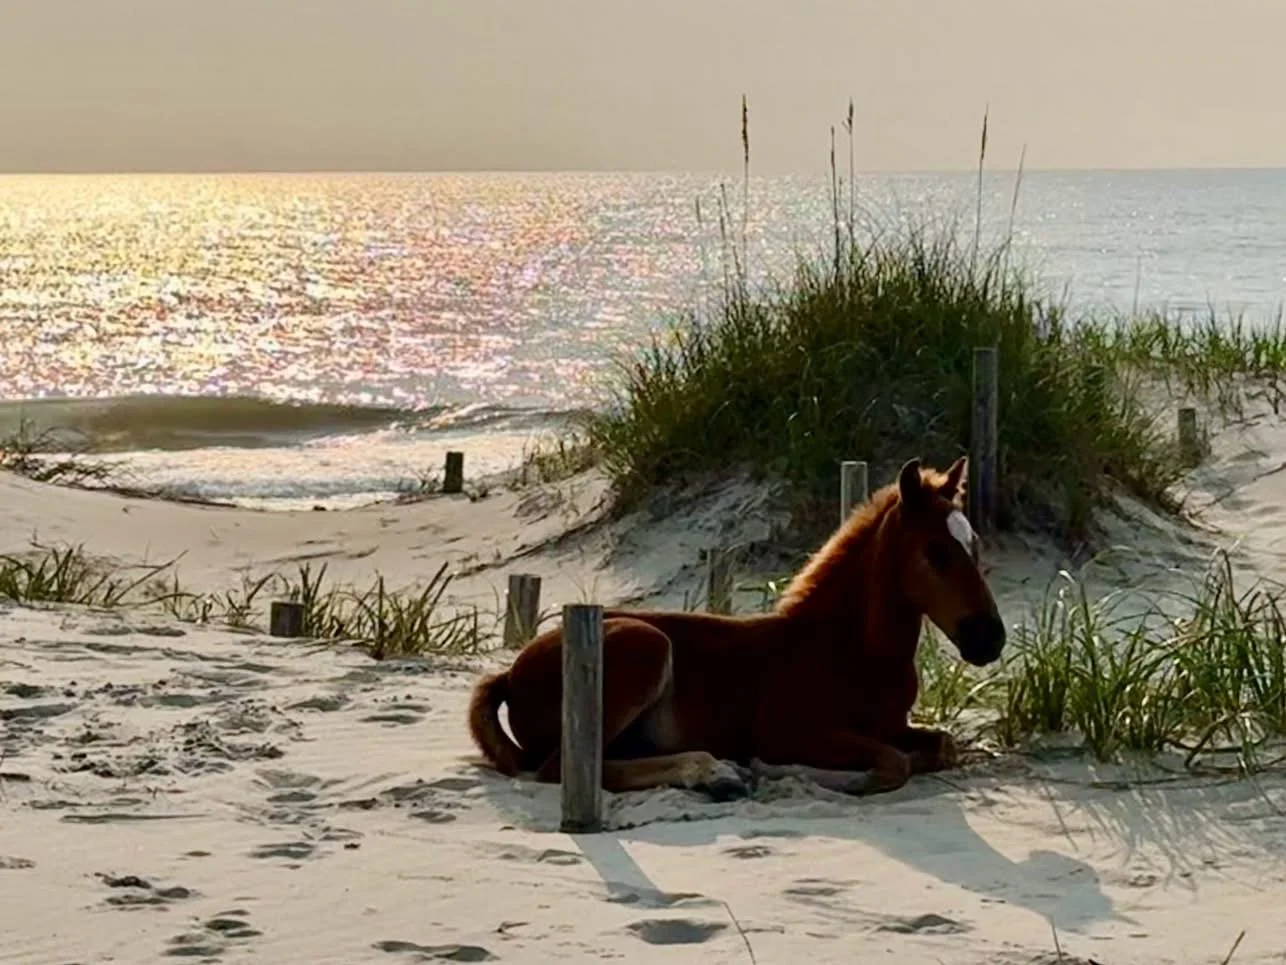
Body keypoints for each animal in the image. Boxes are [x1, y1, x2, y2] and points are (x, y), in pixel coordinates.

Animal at [467, 455, 1006, 801]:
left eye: (974, 544)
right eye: (936, 552)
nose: (991, 639)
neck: (849, 647)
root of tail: (510, 673)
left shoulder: (893, 726)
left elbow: (939, 746)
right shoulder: (789, 731)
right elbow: (892, 763)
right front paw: (792, 773)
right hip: (644, 645)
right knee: (562, 769)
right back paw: (715, 773)